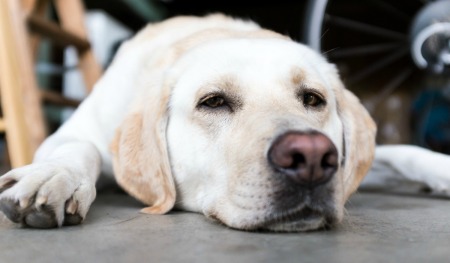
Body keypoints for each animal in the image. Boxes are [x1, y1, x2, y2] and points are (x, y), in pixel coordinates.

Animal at [0, 15, 450, 232]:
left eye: (313, 99)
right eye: (213, 102)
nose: (310, 156)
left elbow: (403, 152)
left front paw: (441, 171)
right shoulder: (76, 131)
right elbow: (78, 147)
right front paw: (54, 177)